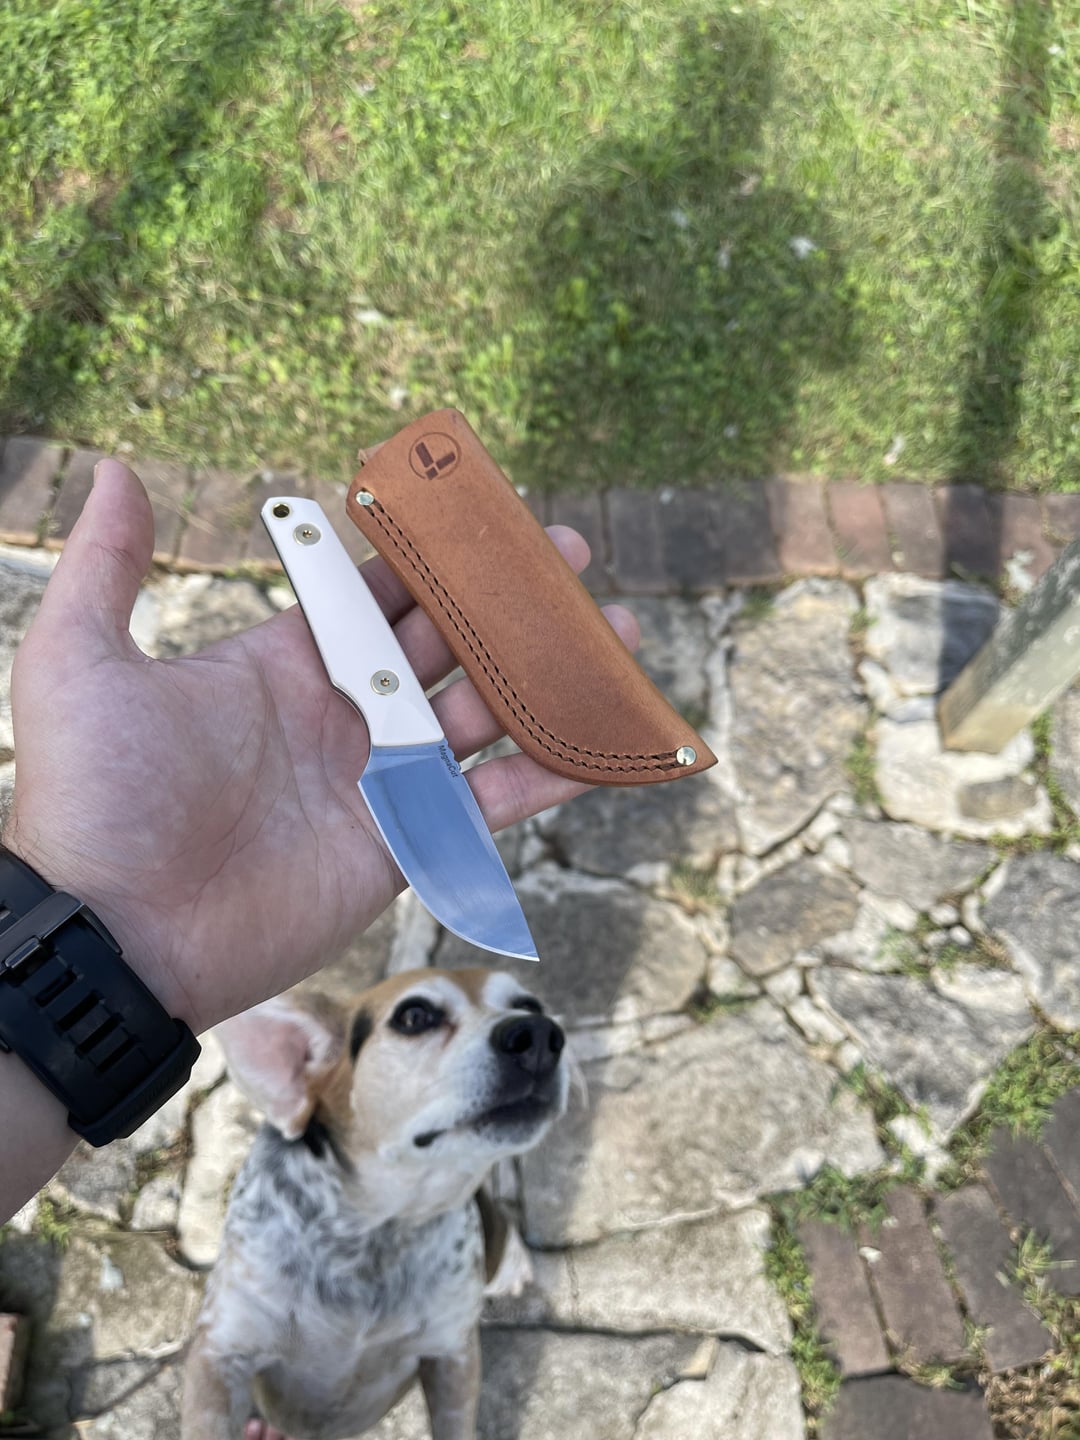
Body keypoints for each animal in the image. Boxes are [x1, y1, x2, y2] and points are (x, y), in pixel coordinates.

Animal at [181, 967, 570, 1440]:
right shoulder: (222, 1349)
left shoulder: (452, 1355)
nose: (540, 1034)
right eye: (415, 1016)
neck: (380, 1227)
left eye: (529, 1004)